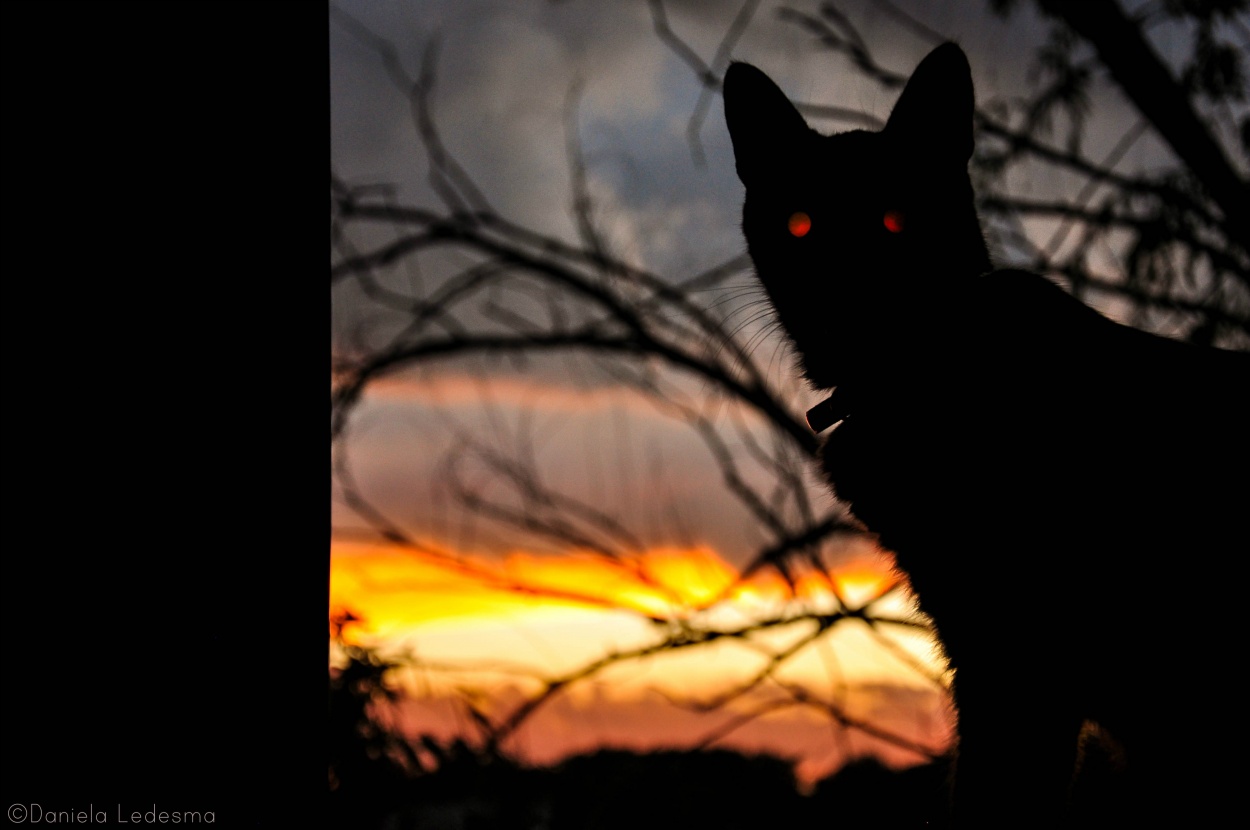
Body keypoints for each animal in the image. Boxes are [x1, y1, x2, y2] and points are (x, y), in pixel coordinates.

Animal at [725, 42, 1250, 825]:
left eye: (896, 220)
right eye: (801, 225)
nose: (850, 277)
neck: (918, 376)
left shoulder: (1018, 666)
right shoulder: (985, 652)